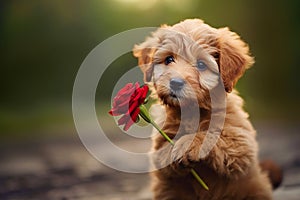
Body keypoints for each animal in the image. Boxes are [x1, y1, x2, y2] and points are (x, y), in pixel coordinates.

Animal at [134, 18, 276, 200]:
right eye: (169, 59)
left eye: (201, 64)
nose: (175, 83)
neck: (193, 111)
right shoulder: (159, 150)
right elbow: (165, 156)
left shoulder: (241, 143)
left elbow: (212, 135)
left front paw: (187, 144)